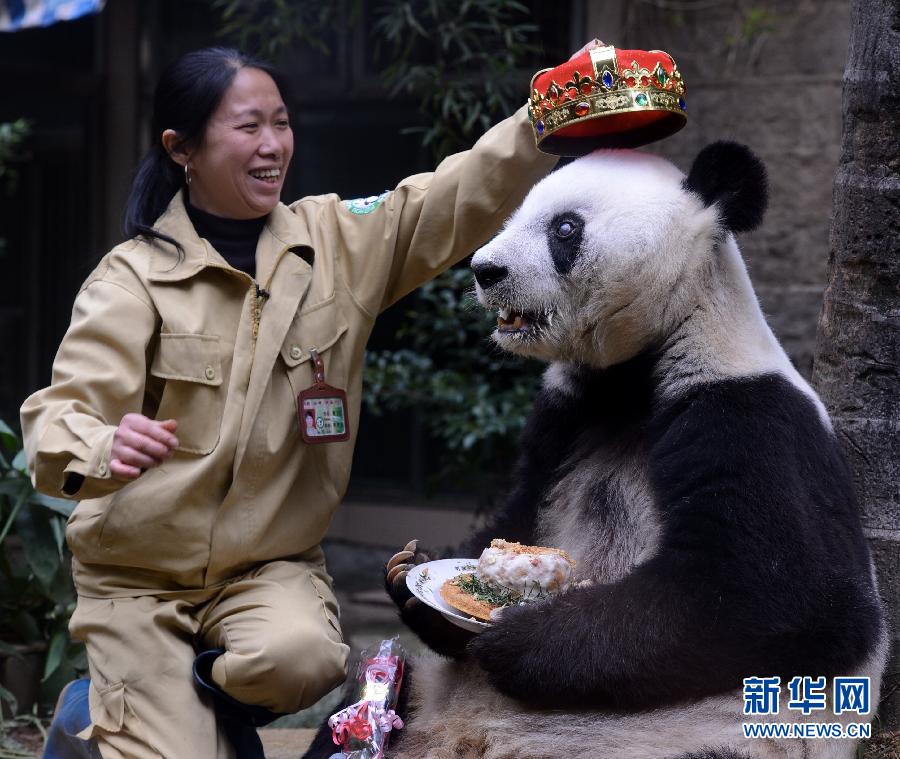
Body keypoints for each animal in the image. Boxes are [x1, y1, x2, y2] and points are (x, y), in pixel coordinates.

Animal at [300, 144, 884, 759]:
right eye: (514, 213)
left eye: (564, 228)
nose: (486, 270)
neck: (639, 368)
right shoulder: (565, 412)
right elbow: (521, 509)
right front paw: (414, 578)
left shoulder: (748, 417)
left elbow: (788, 593)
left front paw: (523, 637)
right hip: (418, 699)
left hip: (703, 739)